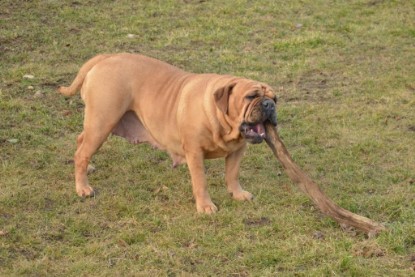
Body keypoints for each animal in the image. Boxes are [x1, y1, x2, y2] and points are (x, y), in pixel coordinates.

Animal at [58, 54, 278, 213]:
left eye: (275, 98)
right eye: (250, 96)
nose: (270, 104)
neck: (218, 117)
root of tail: (105, 57)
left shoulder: (237, 151)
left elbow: (232, 174)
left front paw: (237, 194)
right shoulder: (195, 153)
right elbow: (201, 182)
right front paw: (206, 206)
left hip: (98, 125)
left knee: (81, 142)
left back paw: (88, 169)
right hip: (102, 122)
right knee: (82, 152)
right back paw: (83, 188)